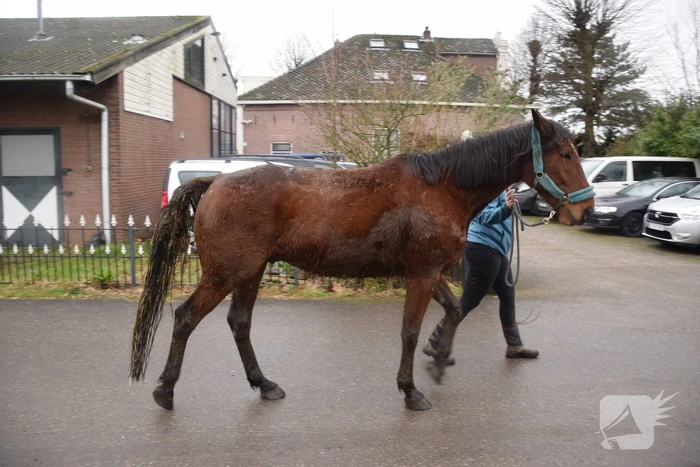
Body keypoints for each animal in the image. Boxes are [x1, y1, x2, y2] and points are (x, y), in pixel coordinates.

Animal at [129, 110, 594, 411]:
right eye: (566, 154)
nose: (585, 210)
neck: (442, 188)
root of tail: (214, 182)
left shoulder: (430, 272)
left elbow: (455, 310)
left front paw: (439, 359)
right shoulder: (422, 274)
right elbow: (410, 332)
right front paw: (411, 390)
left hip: (251, 272)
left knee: (239, 323)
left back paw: (264, 384)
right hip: (227, 273)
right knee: (186, 317)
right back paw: (165, 391)